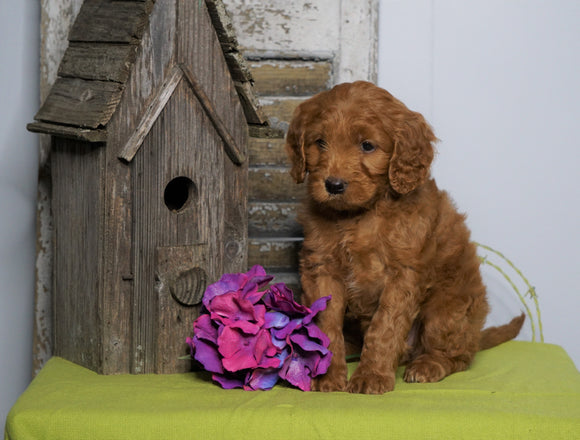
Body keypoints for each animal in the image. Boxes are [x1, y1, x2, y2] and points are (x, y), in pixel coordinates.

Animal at [286, 82, 524, 396]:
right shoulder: (322, 268)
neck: (359, 215)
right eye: (320, 142)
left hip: (446, 311)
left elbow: (384, 326)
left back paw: (428, 365)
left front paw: (371, 376)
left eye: (367, 146)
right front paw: (327, 376)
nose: (333, 185)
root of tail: (475, 334)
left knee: (458, 356)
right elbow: (325, 324)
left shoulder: (403, 275)